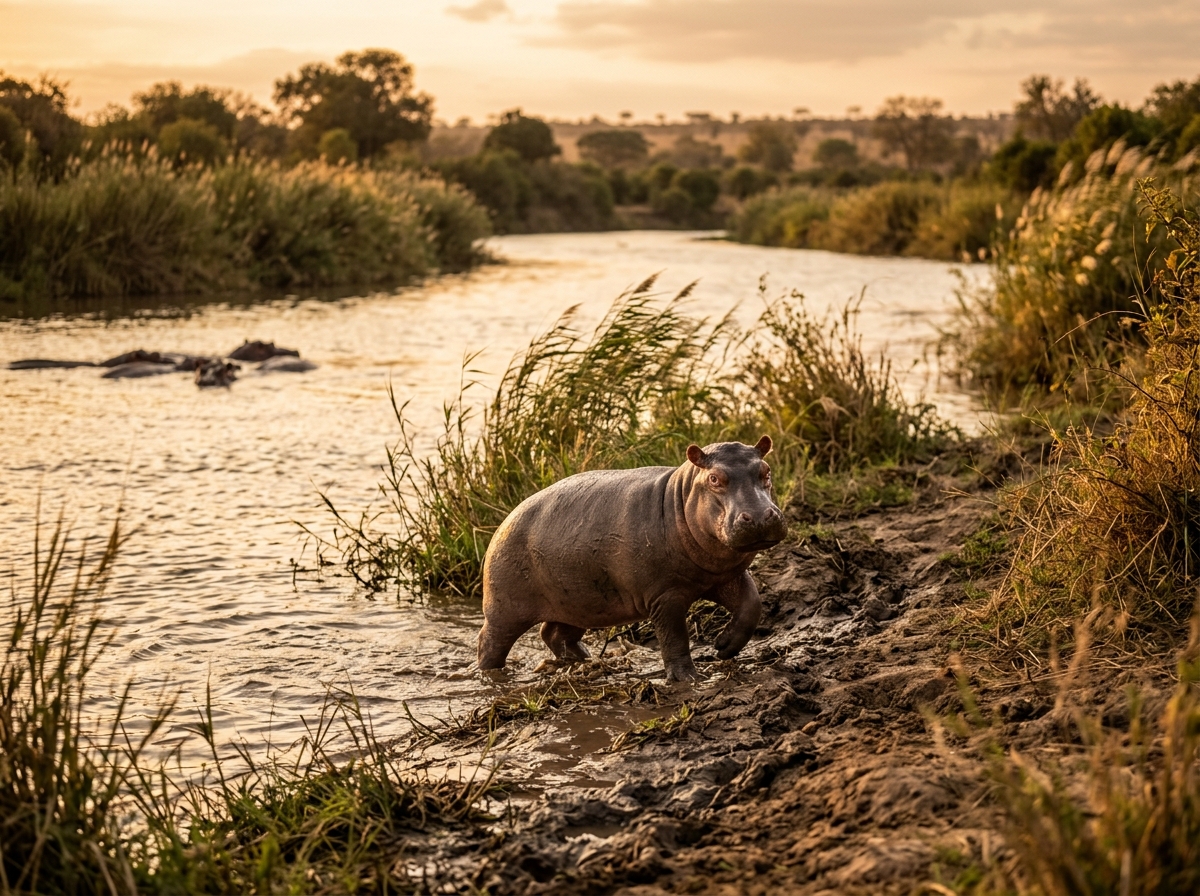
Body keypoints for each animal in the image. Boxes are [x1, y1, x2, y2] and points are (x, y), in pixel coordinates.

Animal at [478, 436, 788, 682]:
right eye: (714, 478)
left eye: (766, 471)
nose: (760, 516)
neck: (681, 496)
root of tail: (504, 522)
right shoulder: (665, 596)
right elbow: (674, 637)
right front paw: (688, 678)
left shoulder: (724, 576)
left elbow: (751, 607)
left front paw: (723, 646)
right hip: (505, 609)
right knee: (490, 642)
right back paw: (491, 675)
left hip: (578, 601)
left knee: (554, 633)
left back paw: (585, 658)